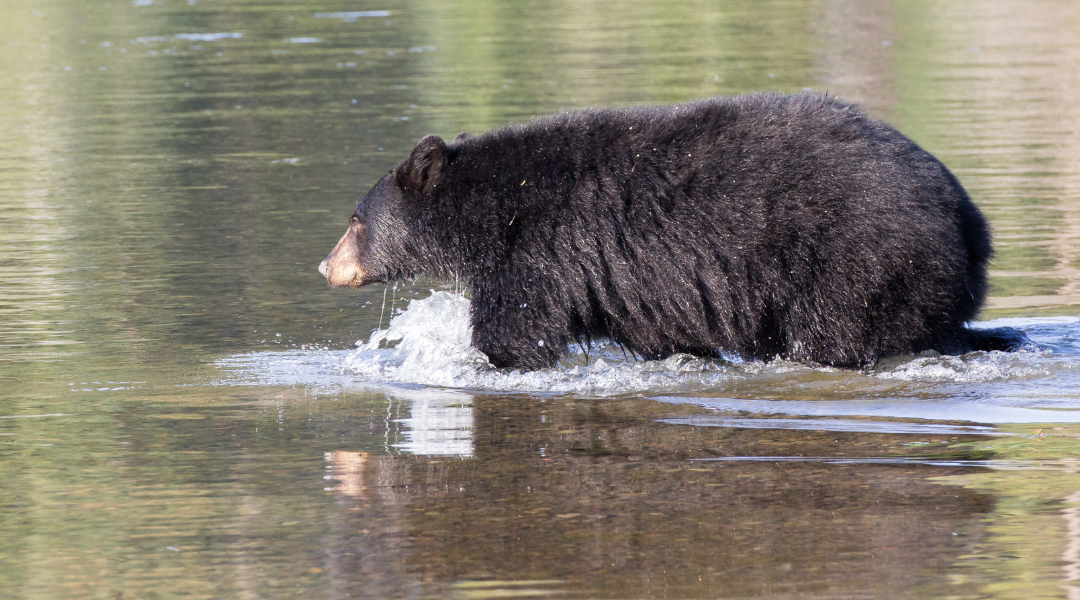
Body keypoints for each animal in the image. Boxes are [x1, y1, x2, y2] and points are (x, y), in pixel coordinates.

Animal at [319, 92, 1026, 371]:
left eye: (354, 219)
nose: (326, 265)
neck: (493, 207)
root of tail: (970, 222)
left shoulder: (538, 250)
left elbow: (518, 331)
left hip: (855, 258)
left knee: (835, 330)